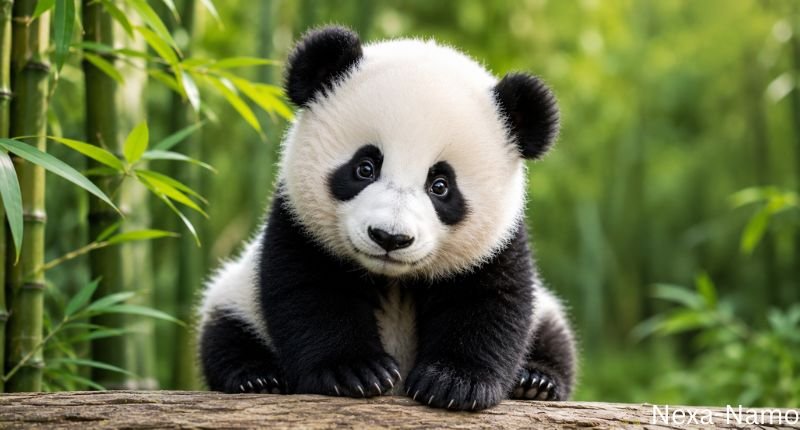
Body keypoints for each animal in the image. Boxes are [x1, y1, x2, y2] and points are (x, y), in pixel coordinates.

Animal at [198, 25, 577, 411]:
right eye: (365, 167)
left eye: (441, 186)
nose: (390, 237)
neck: (393, 278)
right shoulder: (297, 224)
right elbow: (310, 292)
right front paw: (354, 371)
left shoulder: (496, 246)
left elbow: (489, 303)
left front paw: (454, 382)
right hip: (235, 295)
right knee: (225, 334)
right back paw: (257, 376)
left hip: (547, 313)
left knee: (554, 338)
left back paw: (535, 381)